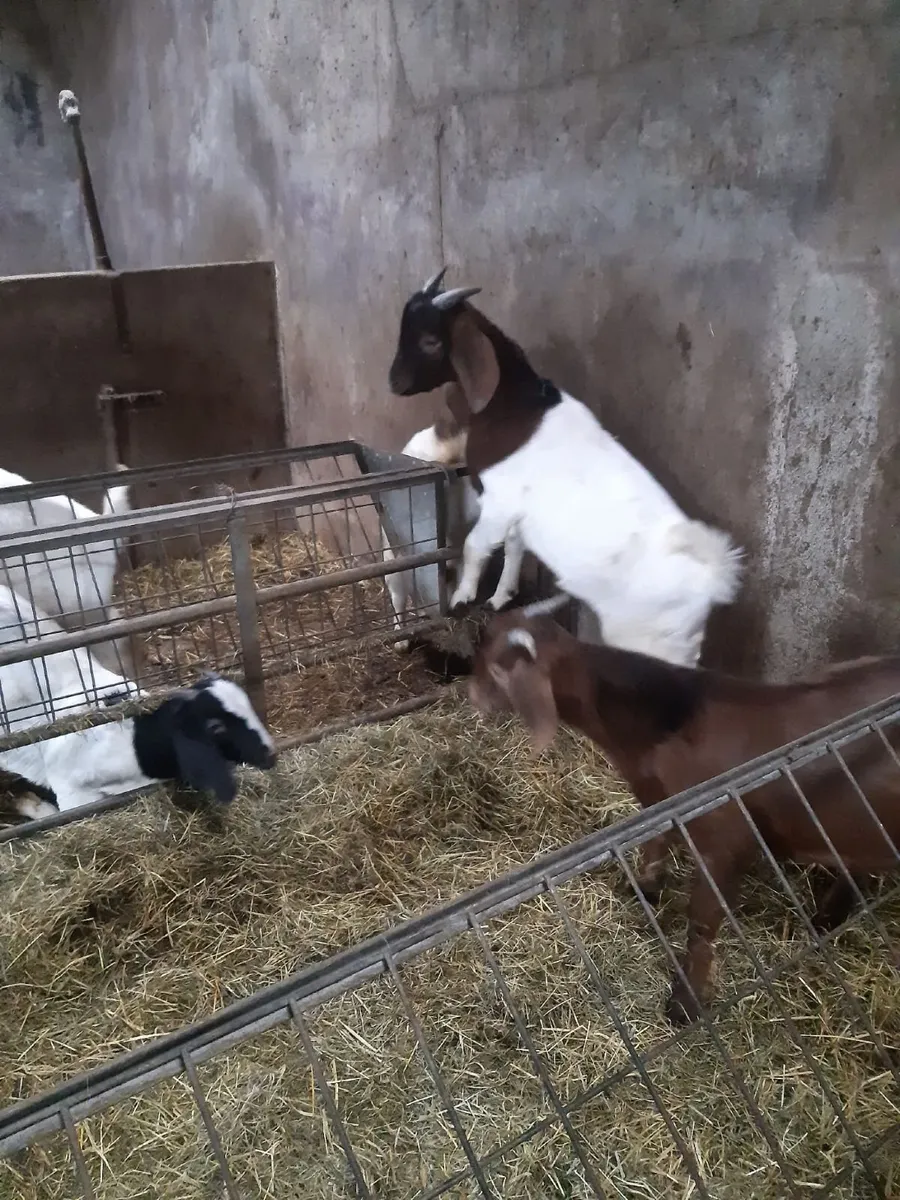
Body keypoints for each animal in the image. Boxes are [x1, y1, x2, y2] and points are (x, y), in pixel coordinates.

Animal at [470, 595, 900, 1025]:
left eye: (493, 660)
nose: (469, 691)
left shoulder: (723, 843)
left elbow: (702, 926)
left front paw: (683, 1005)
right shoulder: (660, 802)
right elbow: (657, 840)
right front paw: (644, 887)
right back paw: (827, 918)